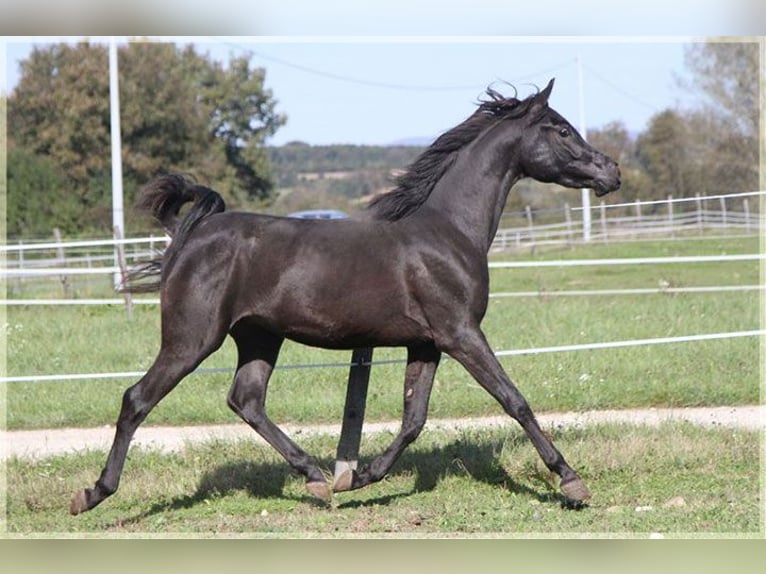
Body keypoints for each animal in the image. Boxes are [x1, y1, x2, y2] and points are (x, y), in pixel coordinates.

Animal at [72, 79, 620, 516]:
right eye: (562, 130)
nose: (611, 172)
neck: (447, 231)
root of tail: (193, 236)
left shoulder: (427, 343)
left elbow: (414, 420)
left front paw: (356, 477)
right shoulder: (461, 333)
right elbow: (515, 400)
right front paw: (571, 482)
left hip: (258, 337)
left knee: (246, 400)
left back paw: (316, 480)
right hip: (192, 338)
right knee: (137, 399)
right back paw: (93, 494)